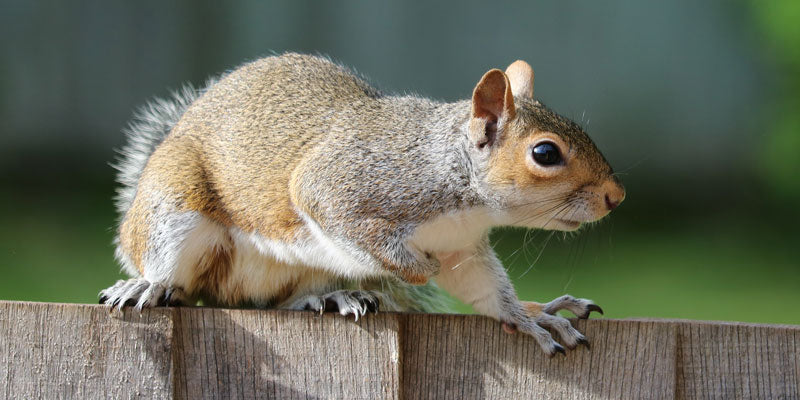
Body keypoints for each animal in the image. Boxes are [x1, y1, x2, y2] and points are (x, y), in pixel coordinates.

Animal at [100, 53, 624, 356]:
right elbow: (345, 220)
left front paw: (530, 316)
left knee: (274, 301)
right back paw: (147, 285)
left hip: (298, 273)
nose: (615, 197)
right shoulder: (343, 185)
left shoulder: (461, 247)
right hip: (173, 208)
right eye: (545, 153)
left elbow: (484, 290)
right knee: (176, 275)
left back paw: (330, 296)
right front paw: (415, 268)